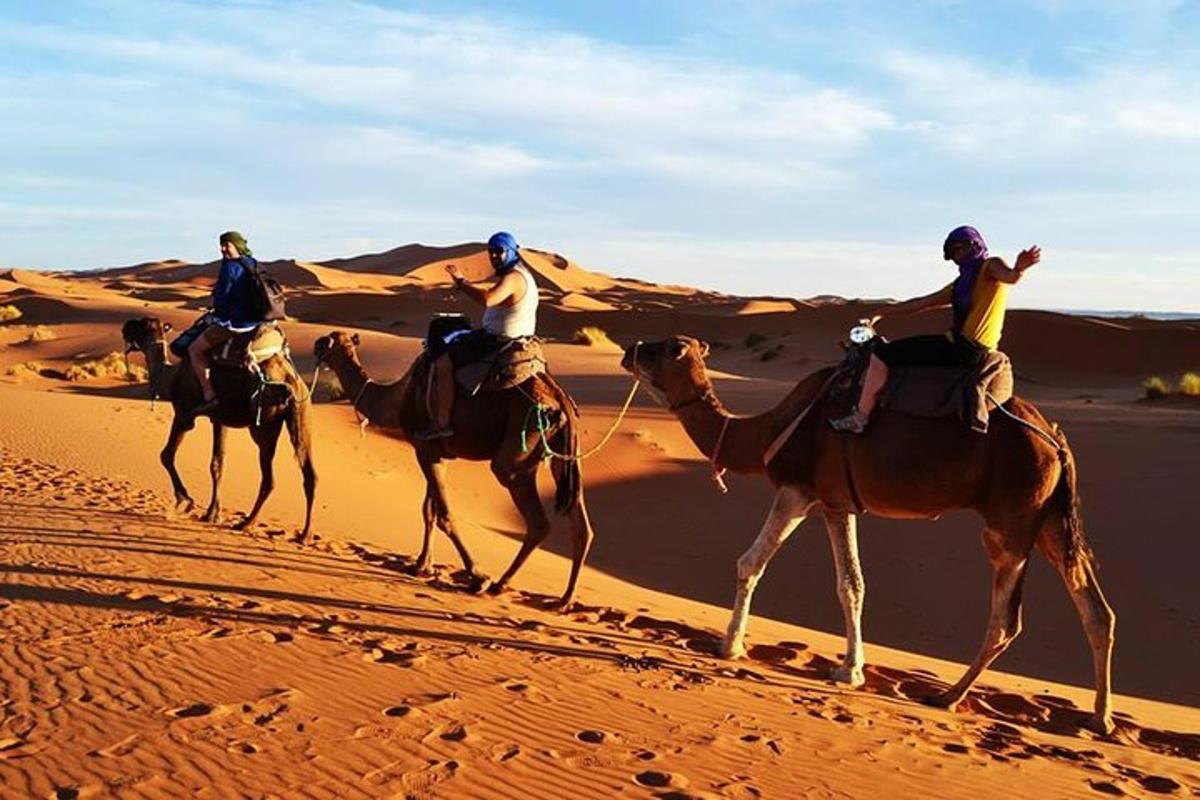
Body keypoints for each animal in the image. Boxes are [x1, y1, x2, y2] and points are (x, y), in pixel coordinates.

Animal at [121, 316, 316, 542]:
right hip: (302, 413)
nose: (125, 327)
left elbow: (166, 455)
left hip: (263, 424)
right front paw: (212, 513)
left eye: (140, 325)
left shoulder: (184, 414)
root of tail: (289, 378)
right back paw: (304, 534)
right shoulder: (219, 420)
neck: (170, 377)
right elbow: (217, 464)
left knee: (270, 479)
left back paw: (246, 523)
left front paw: (185, 501)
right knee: (309, 472)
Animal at [307, 331, 592, 606]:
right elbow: (429, 510)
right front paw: (422, 564)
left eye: (325, 342)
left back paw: (500, 584)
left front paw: (478, 577)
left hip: (519, 449)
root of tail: (559, 399)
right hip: (565, 454)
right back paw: (564, 599)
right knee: (581, 526)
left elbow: (444, 515)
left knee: (536, 519)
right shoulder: (435, 452)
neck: (399, 396)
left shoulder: (424, 448)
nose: (315, 347)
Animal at [624, 335, 1118, 734]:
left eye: (665, 348)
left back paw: (948, 696)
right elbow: (852, 584)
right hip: (1049, 523)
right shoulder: (836, 503)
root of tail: (1056, 439)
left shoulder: (797, 489)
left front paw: (729, 646)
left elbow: (751, 562)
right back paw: (1100, 719)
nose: (630, 349)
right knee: (1095, 609)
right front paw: (851, 670)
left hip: (1011, 523)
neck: (767, 428)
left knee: (1006, 619)